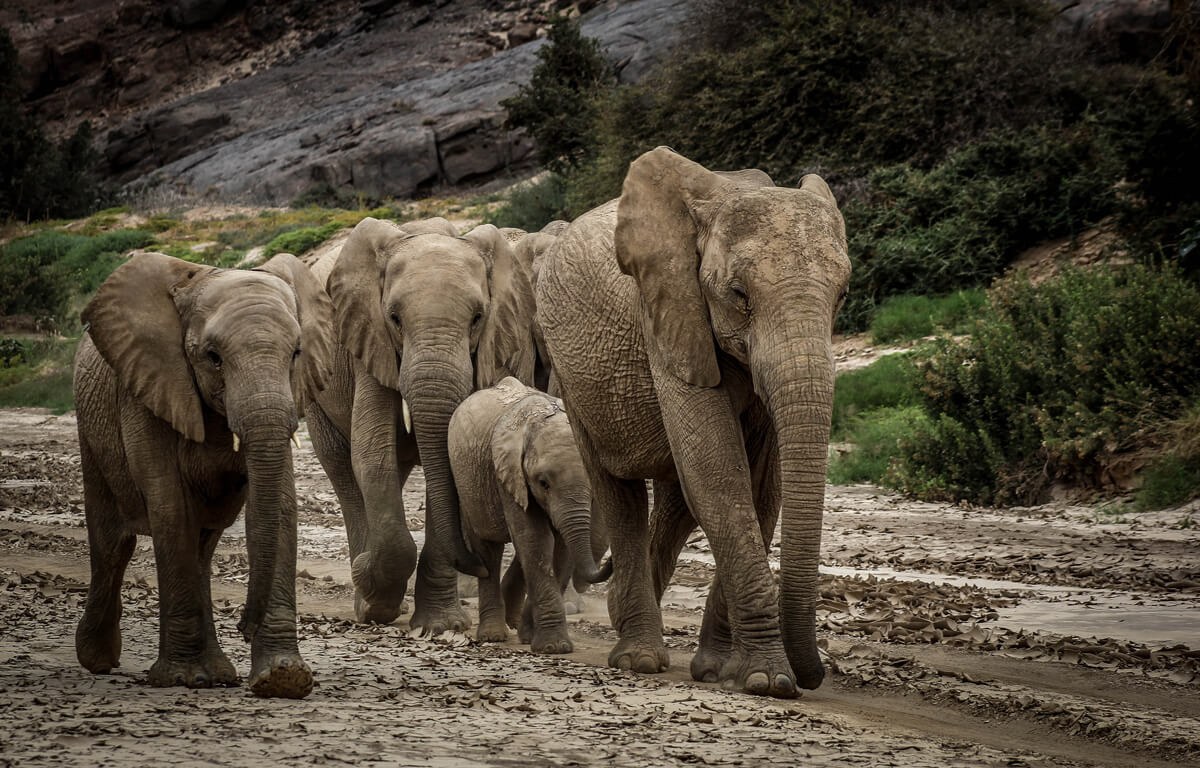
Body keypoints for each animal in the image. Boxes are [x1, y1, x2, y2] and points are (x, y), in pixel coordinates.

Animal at [73, 250, 332, 699]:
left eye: (296, 353)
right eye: (213, 357)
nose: (244, 625)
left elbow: (281, 505)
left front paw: (283, 679)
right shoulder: (149, 386)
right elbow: (170, 505)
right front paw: (182, 679)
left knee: (202, 547)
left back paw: (218, 674)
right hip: (91, 433)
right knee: (112, 543)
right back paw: (99, 660)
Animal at [304, 217, 538, 633]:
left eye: (477, 318)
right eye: (394, 318)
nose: (477, 565)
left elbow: (449, 459)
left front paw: (442, 625)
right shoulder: (369, 341)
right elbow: (371, 454)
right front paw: (375, 597)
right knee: (343, 467)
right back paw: (366, 597)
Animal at [447, 377, 610, 652]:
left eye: (592, 482)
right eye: (543, 483)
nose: (610, 564)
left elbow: (559, 548)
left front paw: (534, 638)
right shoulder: (508, 475)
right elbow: (536, 540)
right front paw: (554, 647)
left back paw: (517, 628)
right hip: (468, 484)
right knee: (488, 550)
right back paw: (493, 635)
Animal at [536, 147, 850, 698]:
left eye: (842, 296)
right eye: (739, 295)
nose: (814, 676)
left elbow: (761, 488)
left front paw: (726, 671)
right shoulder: (666, 314)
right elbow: (720, 476)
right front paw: (770, 680)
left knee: (677, 503)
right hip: (570, 378)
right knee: (619, 493)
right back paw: (638, 657)